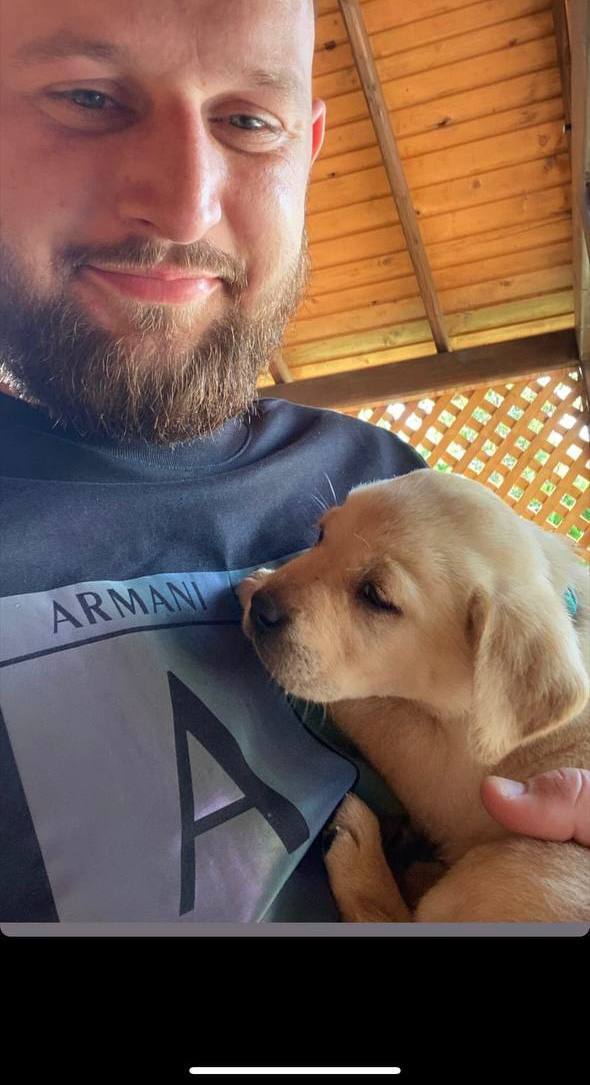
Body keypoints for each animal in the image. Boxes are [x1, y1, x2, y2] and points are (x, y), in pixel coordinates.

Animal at [239, 470, 590, 921]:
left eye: (376, 597)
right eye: (320, 535)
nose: (260, 607)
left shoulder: (440, 777)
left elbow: (366, 707)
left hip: (517, 862)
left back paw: (360, 847)